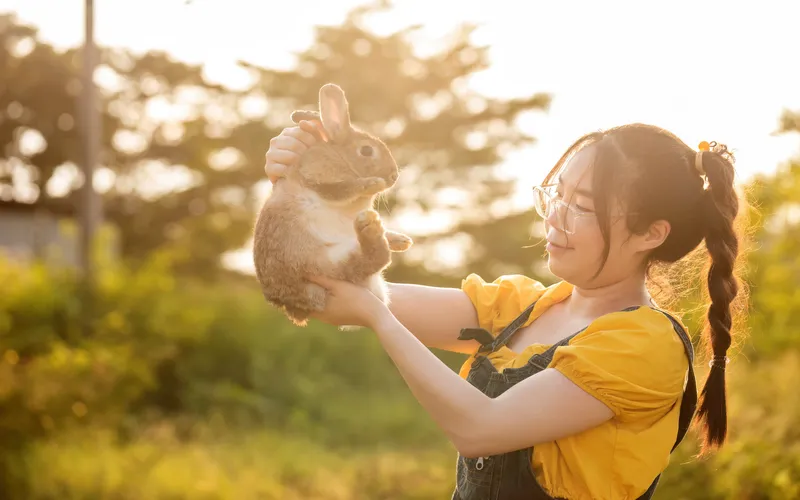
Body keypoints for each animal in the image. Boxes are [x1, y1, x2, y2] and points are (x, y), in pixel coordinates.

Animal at [252, 83, 413, 327]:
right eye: (367, 150)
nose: (393, 176)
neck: (342, 157)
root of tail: (294, 306)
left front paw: (403, 239)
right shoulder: (319, 180)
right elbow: (343, 189)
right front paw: (372, 183)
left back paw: (394, 239)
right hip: (324, 264)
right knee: (372, 259)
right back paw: (373, 232)